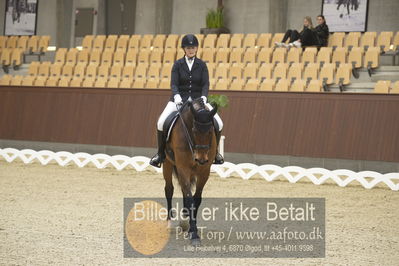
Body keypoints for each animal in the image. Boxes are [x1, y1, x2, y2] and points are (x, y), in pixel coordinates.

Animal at [162, 97, 219, 245]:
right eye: (194, 130)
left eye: (210, 131)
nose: (201, 159)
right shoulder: (183, 168)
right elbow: (189, 198)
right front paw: (193, 233)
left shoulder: (204, 171)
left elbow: (196, 198)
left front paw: (191, 227)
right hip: (167, 164)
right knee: (169, 189)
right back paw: (169, 223)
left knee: (183, 190)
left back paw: (184, 219)